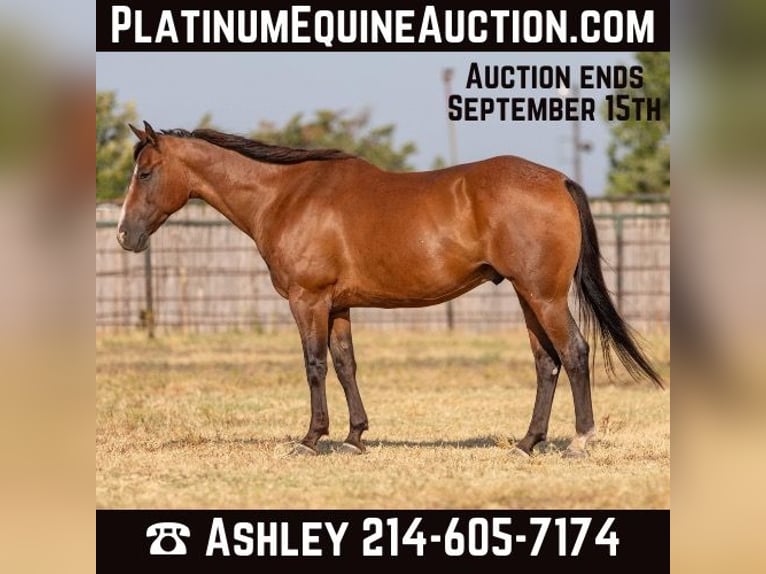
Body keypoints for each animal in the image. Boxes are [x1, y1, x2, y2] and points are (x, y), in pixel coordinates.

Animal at [117, 121, 663, 458]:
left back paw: (579, 441)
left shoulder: (308, 300)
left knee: (574, 353)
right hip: (528, 296)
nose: (124, 236)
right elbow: (345, 365)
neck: (287, 196)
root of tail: (557, 180)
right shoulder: (337, 305)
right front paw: (355, 436)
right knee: (546, 363)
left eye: (145, 172)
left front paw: (311, 438)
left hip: (543, 296)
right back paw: (528, 442)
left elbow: (314, 366)